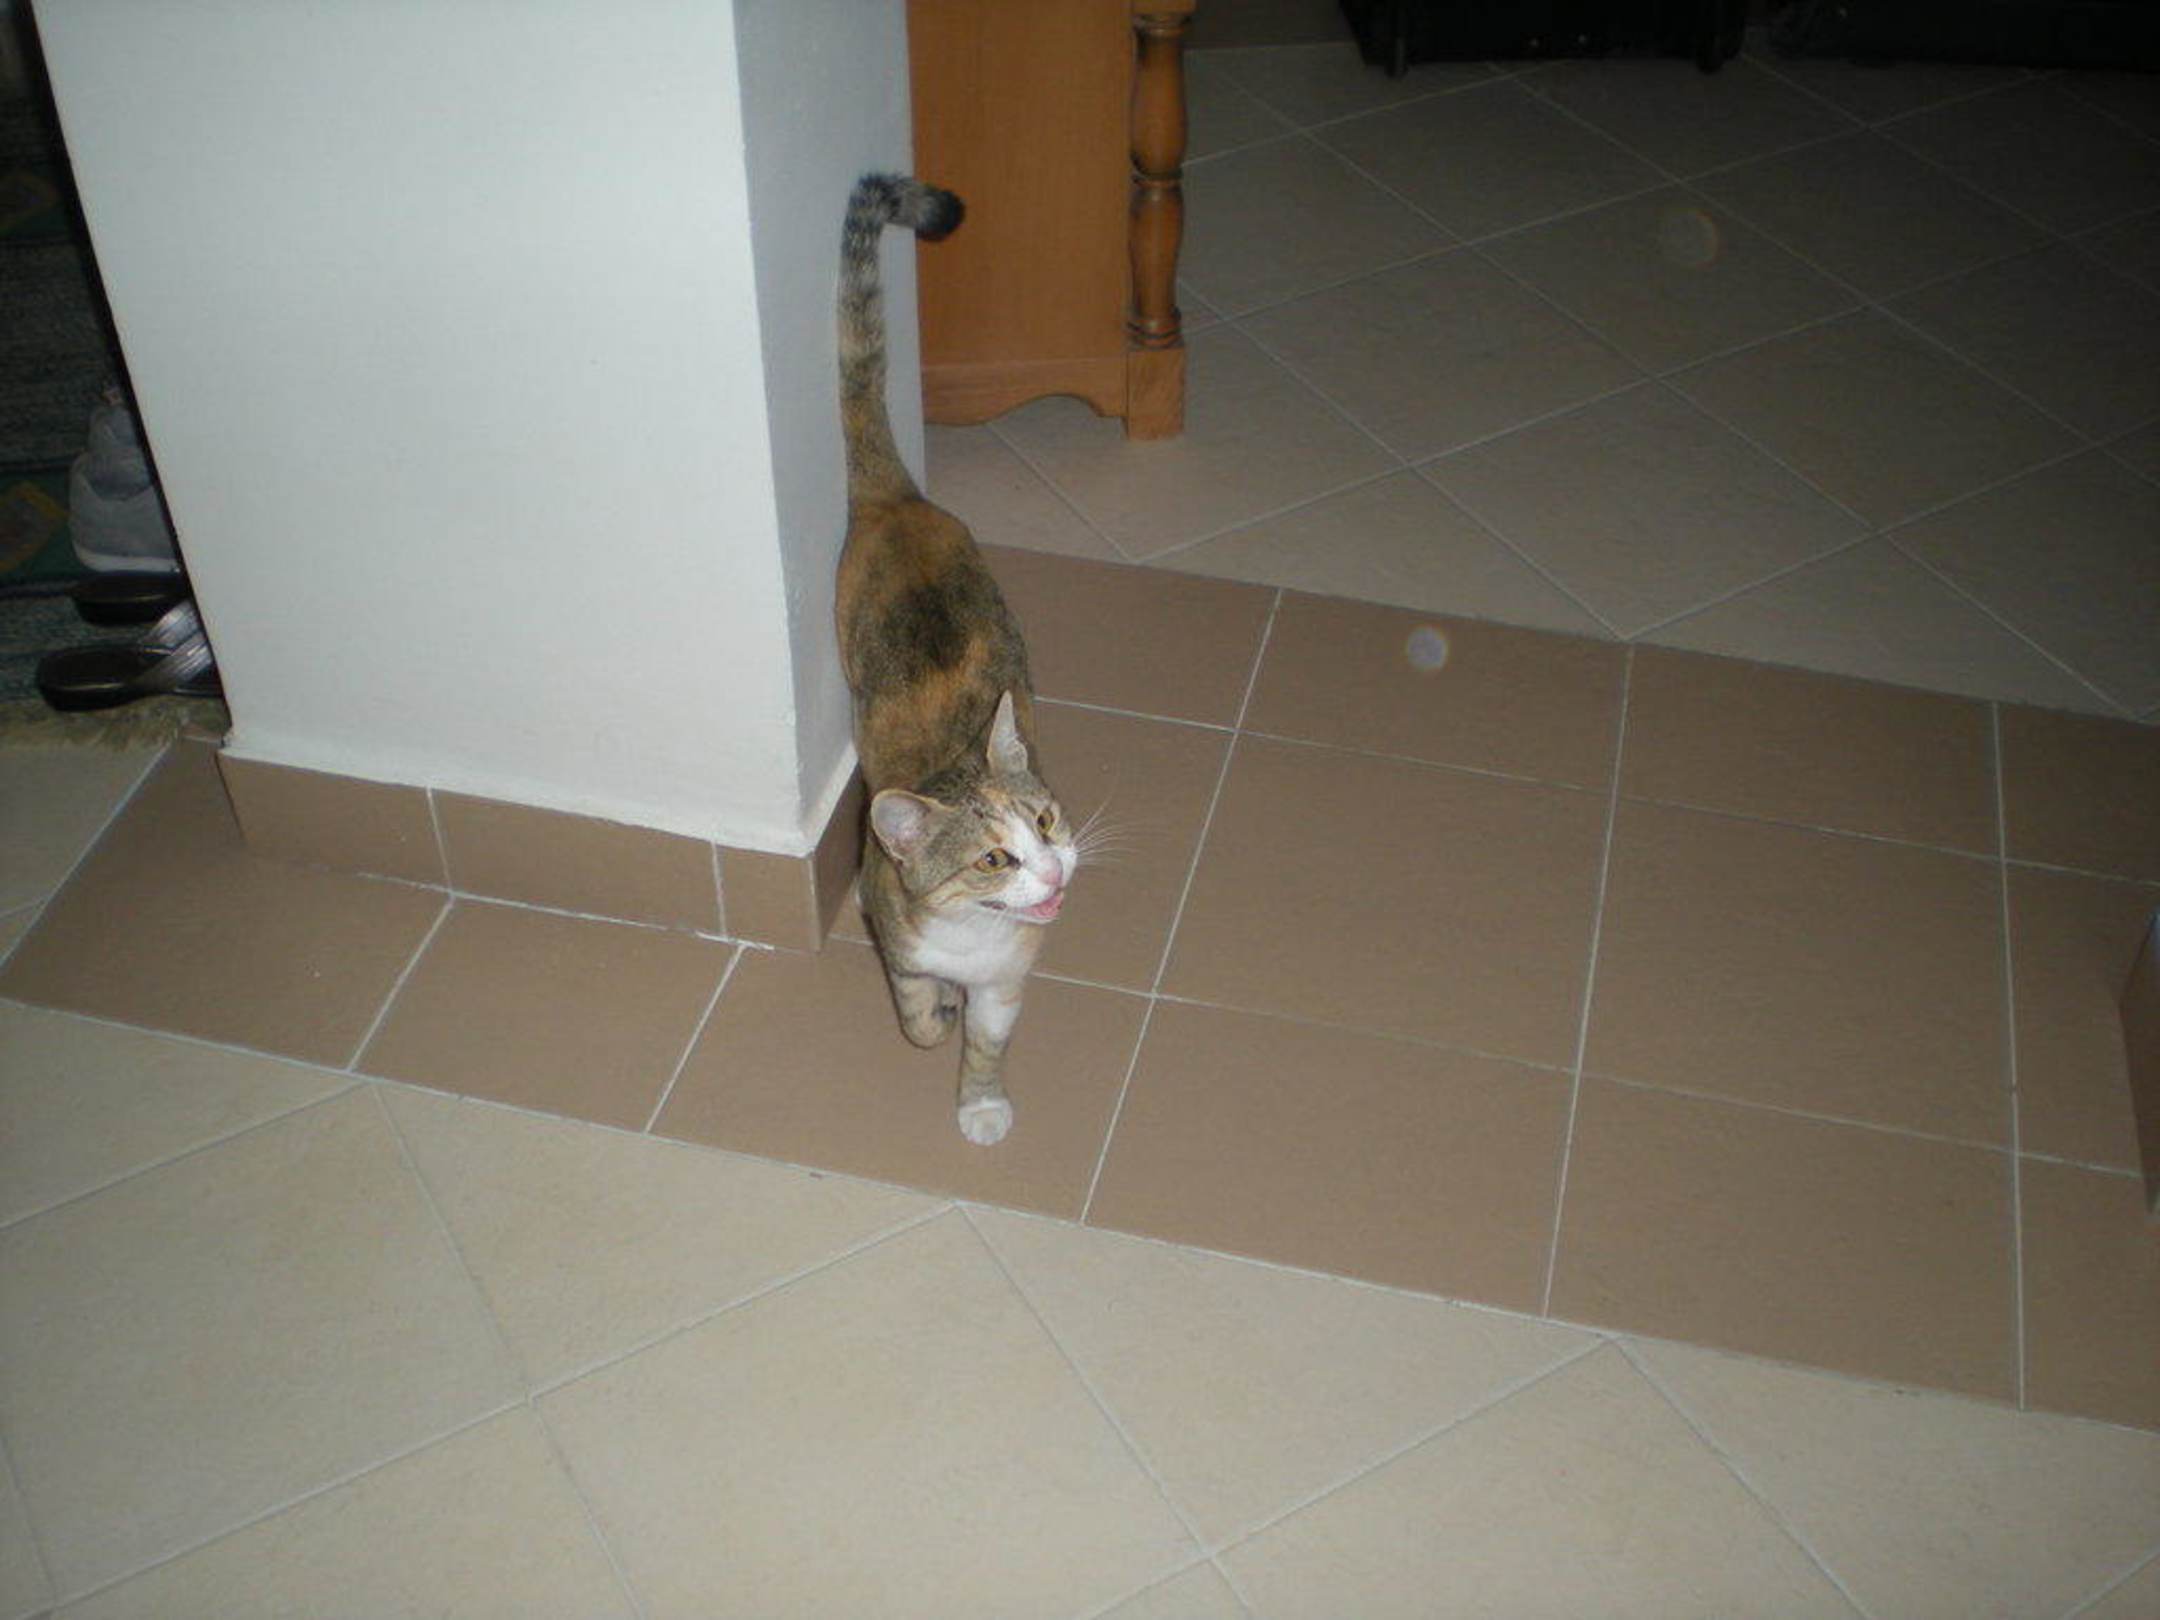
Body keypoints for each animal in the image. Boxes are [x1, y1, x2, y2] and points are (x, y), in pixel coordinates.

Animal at [832, 172, 1077, 1148]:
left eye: (1045, 820)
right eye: (993, 860)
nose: (1057, 869)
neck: (973, 941)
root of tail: (898, 500)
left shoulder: (1009, 979)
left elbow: (985, 1044)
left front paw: (980, 1105)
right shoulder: (890, 931)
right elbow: (916, 1015)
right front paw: (932, 1013)